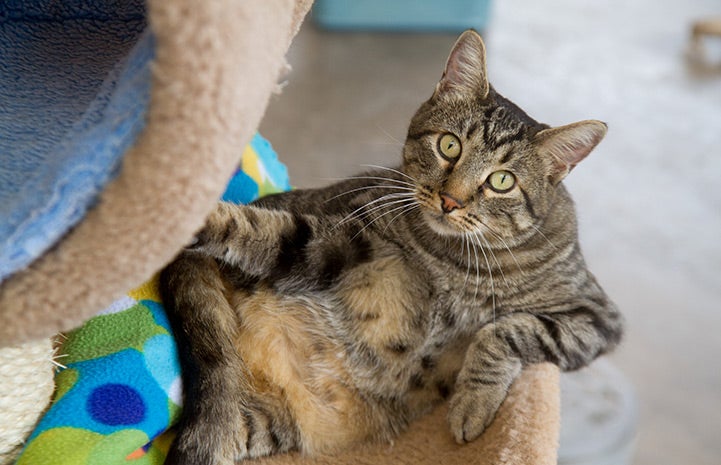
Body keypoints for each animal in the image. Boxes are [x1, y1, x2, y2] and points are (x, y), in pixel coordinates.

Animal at [160, 29, 620, 464]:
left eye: (502, 181)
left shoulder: (594, 318)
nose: (450, 200)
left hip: (250, 421)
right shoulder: (342, 240)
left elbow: (506, 330)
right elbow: (257, 229)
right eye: (449, 145)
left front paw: (473, 403)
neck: (456, 261)